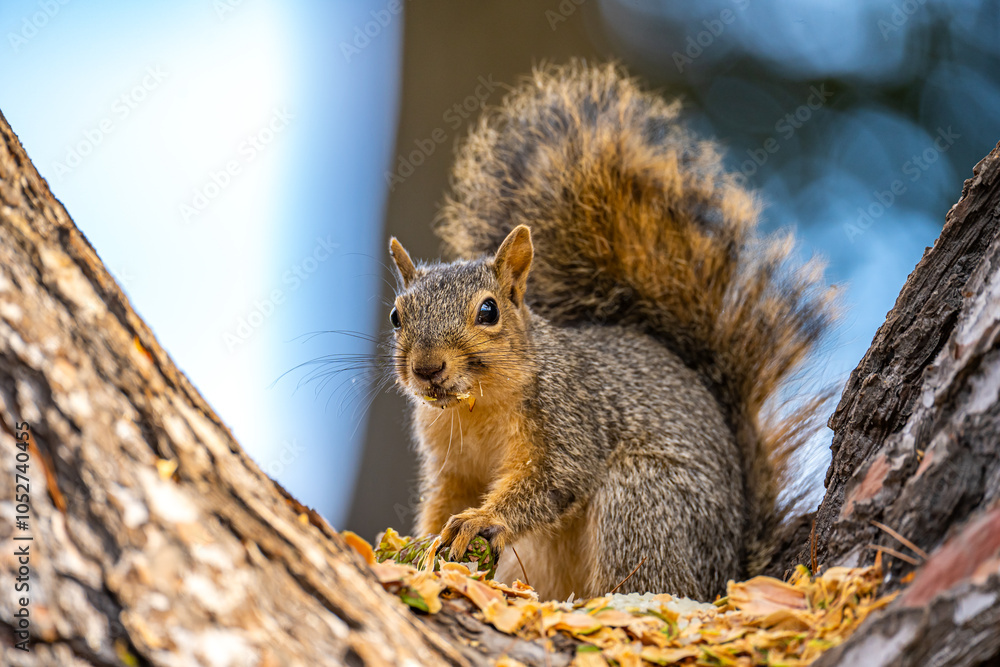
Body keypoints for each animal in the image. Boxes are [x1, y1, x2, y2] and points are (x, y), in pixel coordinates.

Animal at [386, 62, 835, 602]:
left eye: (489, 311)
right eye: (396, 316)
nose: (427, 368)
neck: (477, 405)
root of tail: (728, 569)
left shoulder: (571, 420)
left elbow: (552, 481)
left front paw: (481, 521)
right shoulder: (451, 463)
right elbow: (446, 498)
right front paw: (421, 544)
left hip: (643, 500)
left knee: (650, 577)